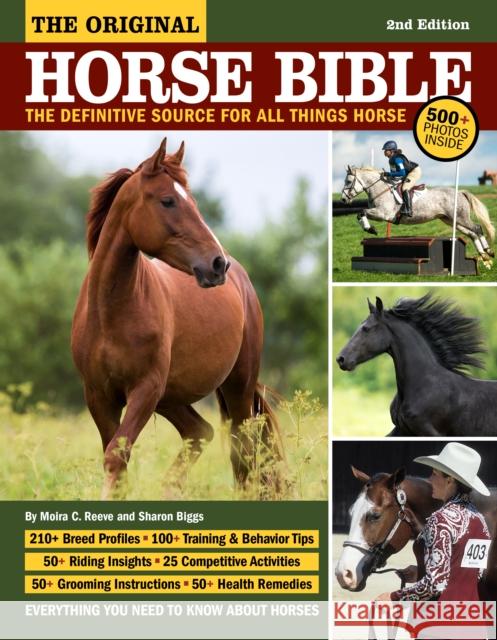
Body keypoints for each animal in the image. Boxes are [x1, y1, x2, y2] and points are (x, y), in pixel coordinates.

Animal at [71, 138, 283, 499]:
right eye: (167, 200)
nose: (217, 264)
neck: (111, 313)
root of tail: (242, 280)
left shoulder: (145, 390)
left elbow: (116, 456)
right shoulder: (99, 396)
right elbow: (117, 461)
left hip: (235, 387)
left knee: (242, 450)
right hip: (171, 397)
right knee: (201, 432)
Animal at [341, 165, 495, 268]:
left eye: (348, 182)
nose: (343, 199)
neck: (380, 189)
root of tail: (460, 192)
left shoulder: (383, 213)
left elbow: (362, 212)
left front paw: (371, 229)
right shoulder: (378, 213)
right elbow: (359, 213)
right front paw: (370, 228)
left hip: (461, 218)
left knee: (477, 228)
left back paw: (489, 251)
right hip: (452, 221)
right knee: (472, 233)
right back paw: (483, 255)